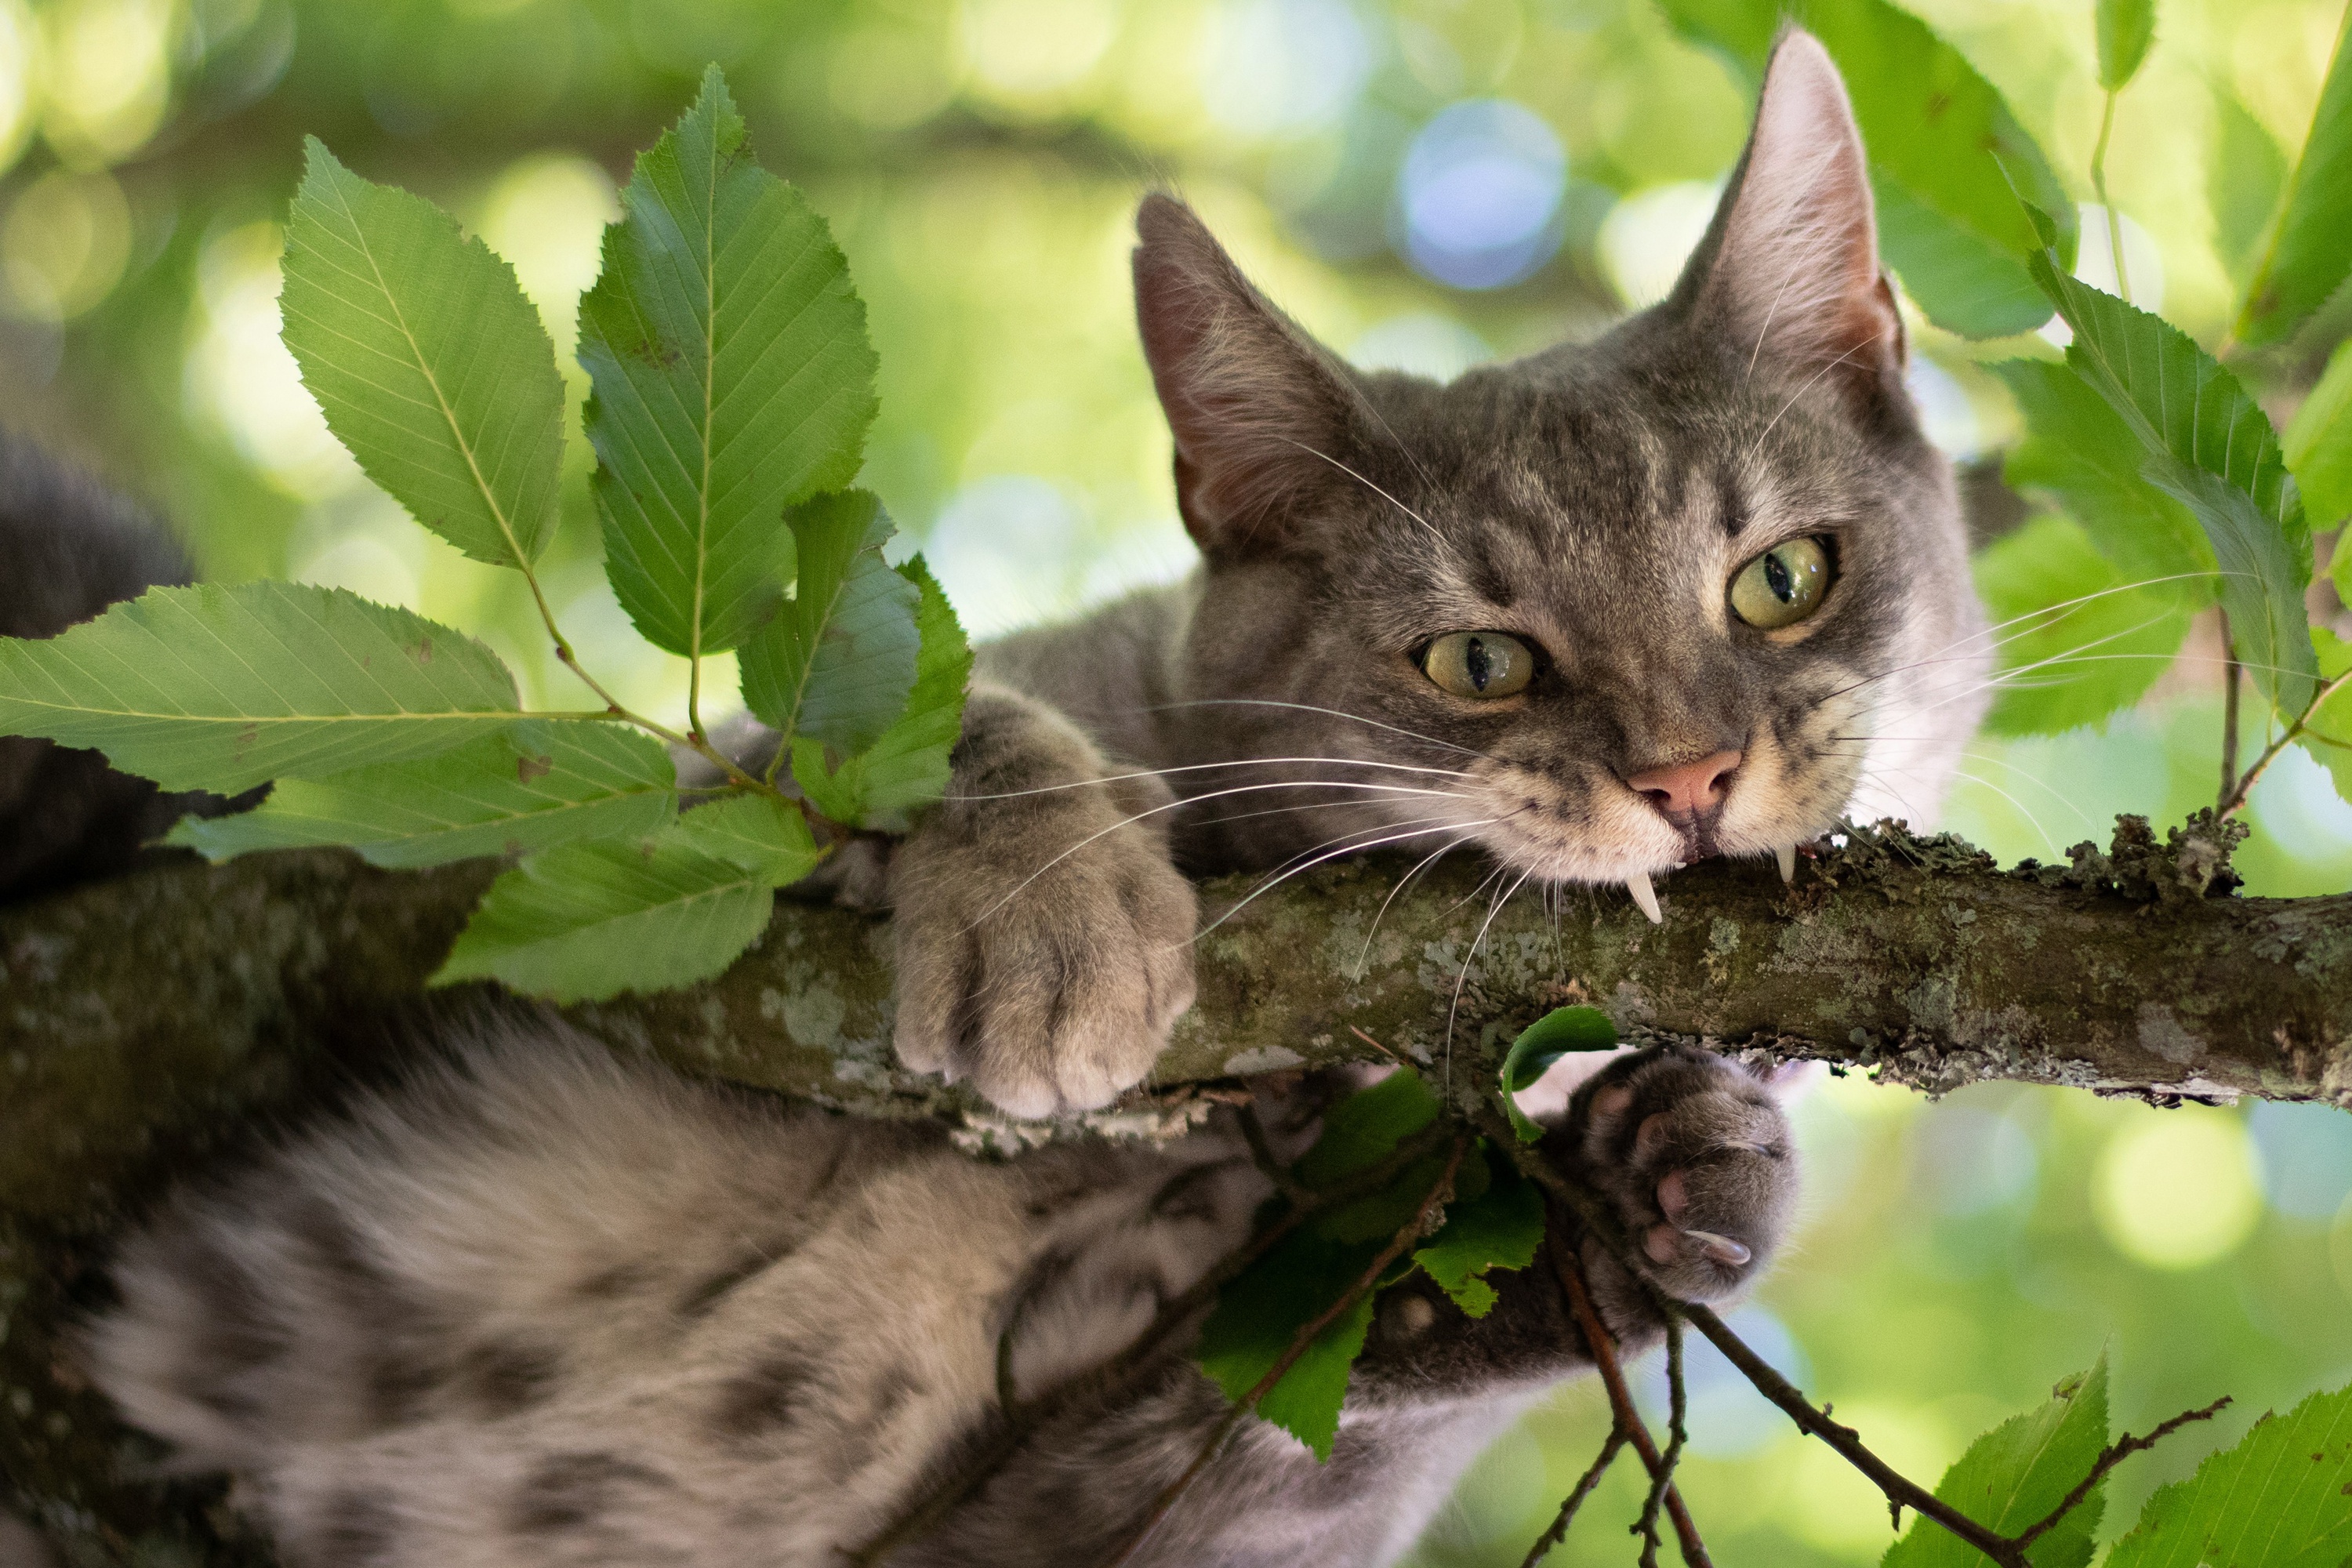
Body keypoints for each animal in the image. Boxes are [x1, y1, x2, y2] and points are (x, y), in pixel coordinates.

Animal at [41, 31, 1985, 1568]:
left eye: (1781, 578)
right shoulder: (690, 808)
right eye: (1481, 662)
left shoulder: (1104, 1516)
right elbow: (954, 720)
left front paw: (1653, 1187)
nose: (1688, 774)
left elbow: (1323, 1389)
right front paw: (1056, 911)